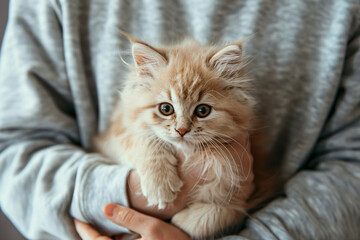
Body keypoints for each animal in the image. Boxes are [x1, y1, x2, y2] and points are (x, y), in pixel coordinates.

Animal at [95, 32, 258, 239]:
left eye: (202, 111)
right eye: (166, 109)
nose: (182, 130)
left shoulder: (241, 195)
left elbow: (216, 215)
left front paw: (180, 221)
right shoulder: (113, 136)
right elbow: (145, 139)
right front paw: (160, 184)